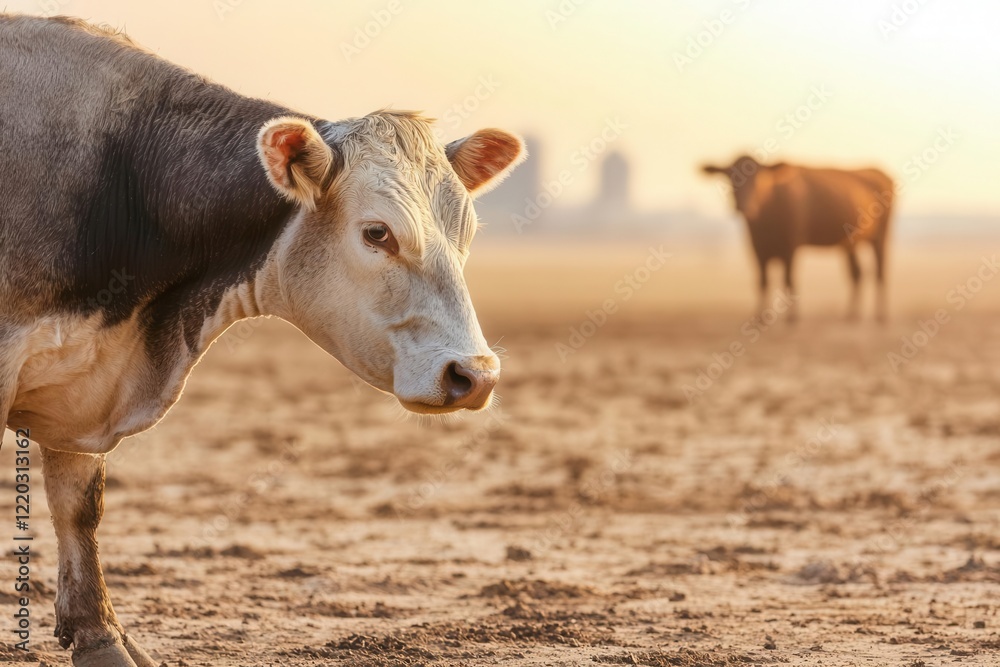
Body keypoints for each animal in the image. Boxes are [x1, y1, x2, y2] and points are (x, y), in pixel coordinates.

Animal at [0, 15, 525, 667]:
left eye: (468, 231)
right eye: (377, 233)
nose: (475, 374)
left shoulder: (84, 379)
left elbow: (79, 505)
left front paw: (101, 639)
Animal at [702, 155, 894, 321]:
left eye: (759, 178)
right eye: (730, 177)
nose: (743, 207)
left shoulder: (792, 245)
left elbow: (789, 278)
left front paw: (792, 317)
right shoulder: (757, 248)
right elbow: (762, 281)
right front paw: (759, 317)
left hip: (881, 238)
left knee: (880, 272)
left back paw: (881, 316)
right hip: (850, 244)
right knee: (857, 274)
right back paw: (851, 315)